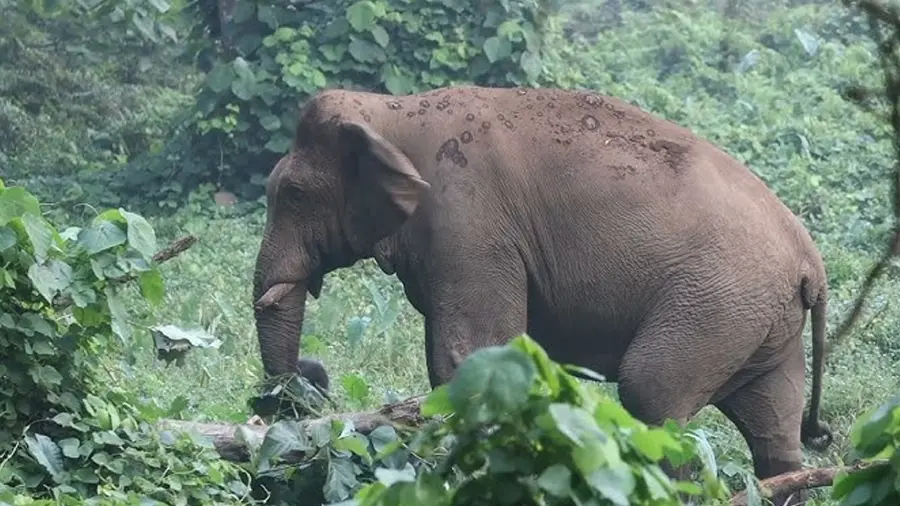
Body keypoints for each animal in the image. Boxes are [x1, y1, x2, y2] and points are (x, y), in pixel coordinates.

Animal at [251, 85, 832, 505]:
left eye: (294, 195)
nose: (314, 373)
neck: (389, 110)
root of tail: (811, 259)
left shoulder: (469, 225)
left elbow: (469, 356)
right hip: (759, 320)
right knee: (773, 429)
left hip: (716, 302)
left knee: (652, 394)